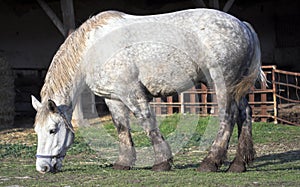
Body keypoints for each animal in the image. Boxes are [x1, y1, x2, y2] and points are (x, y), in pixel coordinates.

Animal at [31, 8, 264, 173]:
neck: (93, 48)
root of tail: (243, 26)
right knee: (244, 115)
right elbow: (122, 128)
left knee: (228, 117)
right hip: (236, 88)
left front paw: (162, 162)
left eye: (52, 130)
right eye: (37, 131)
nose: (43, 168)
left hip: (222, 84)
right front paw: (124, 162)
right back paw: (238, 164)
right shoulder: (113, 98)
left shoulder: (131, 94)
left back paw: (210, 162)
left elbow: (148, 124)